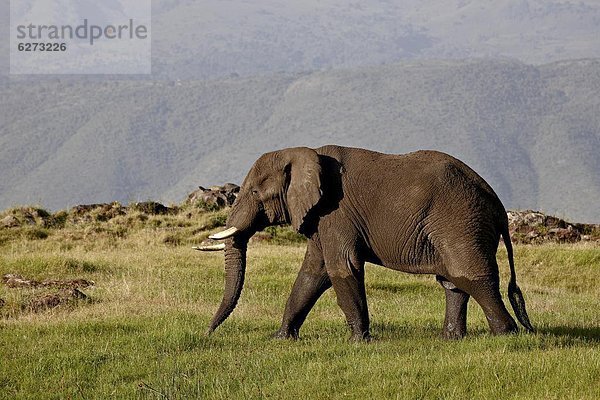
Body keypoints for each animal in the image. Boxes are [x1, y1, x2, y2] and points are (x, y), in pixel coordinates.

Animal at [198, 145, 536, 340]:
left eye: (255, 193)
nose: (208, 333)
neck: (304, 153)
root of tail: (498, 203)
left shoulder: (336, 212)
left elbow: (341, 267)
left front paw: (358, 342)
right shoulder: (322, 218)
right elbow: (312, 273)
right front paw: (281, 339)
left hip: (460, 220)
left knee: (471, 275)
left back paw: (507, 336)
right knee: (453, 280)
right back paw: (452, 340)